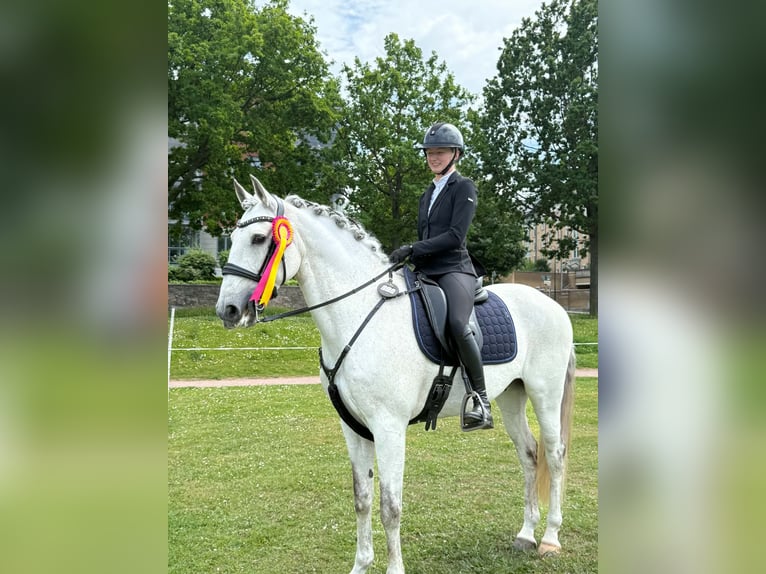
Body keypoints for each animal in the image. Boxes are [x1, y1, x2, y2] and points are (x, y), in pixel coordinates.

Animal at [216, 175, 576, 574]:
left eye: (258, 239)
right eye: (232, 237)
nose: (227, 310)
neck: (357, 313)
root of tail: (552, 304)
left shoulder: (388, 427)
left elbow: (390, 506)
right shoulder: (354, 427)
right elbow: (362, 498)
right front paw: (360, 565)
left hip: (545, 394)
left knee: (554, 455)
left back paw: (550, 538)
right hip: (512, 395)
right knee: (529, 453)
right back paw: (526, 534)